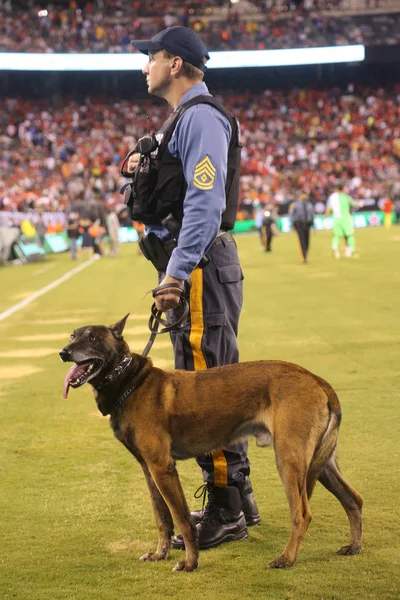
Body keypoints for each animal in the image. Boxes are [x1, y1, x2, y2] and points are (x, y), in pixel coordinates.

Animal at [59, 314, 362, 572]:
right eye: (73, 335)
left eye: (92, 338)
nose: (64, 352)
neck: (130, 382)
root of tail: (317, 380)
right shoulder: (149, 470)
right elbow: (162, 518)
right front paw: (160, 553)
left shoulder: (162, 468)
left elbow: (181, 519)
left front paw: (190, 563)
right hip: (321, 463)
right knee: (354, 499)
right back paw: (354, 546)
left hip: (289, 461)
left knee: (302, 513)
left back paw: (286, 559)